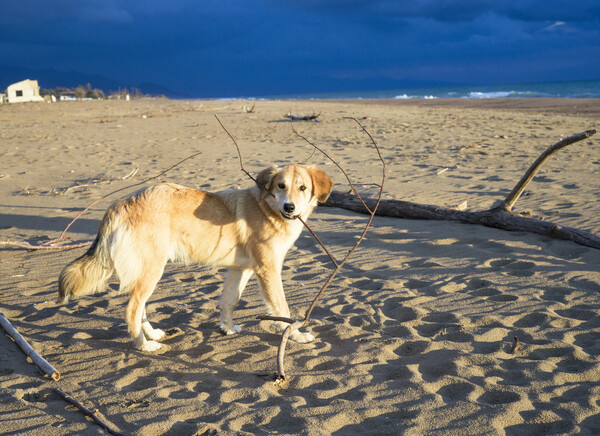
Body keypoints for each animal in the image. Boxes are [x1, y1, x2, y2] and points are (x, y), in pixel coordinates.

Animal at [57, 165, 332, 352]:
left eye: (303, 188)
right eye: (280, 186)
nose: (289, 207)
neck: (267, 208)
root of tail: (121, 204)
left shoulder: (240, 269)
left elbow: (229, 301)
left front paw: (227, 328)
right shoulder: (269, 269)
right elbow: (282, 309)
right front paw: (295, 336)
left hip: (148, 270)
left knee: (140, 306)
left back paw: (152, 334)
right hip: (153, 269)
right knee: (132, 309)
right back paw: (143, 345)